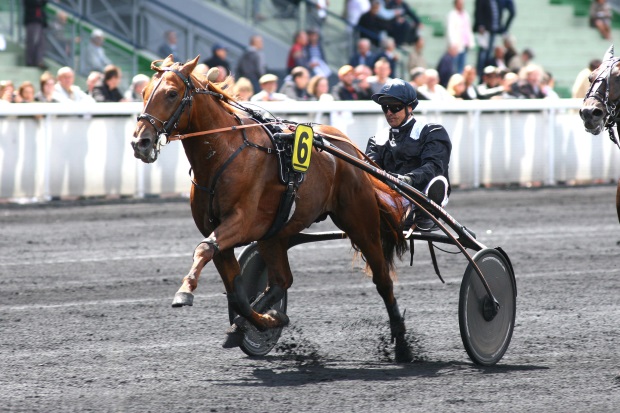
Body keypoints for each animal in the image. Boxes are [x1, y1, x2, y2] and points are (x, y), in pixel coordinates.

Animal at [130, 56, 412, 358]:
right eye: (144, 92)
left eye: (172, 93)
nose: (140, 142)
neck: (223, 152)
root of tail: (349, 149)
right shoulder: (221, 232)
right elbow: (237, 293)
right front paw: (266, 321)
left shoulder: (240, 222)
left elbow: (204, 249)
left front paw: (185, 290)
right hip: (275, 234)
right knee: (281, 281)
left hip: (360, 222)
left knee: (383, 279)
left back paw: (402, 343)